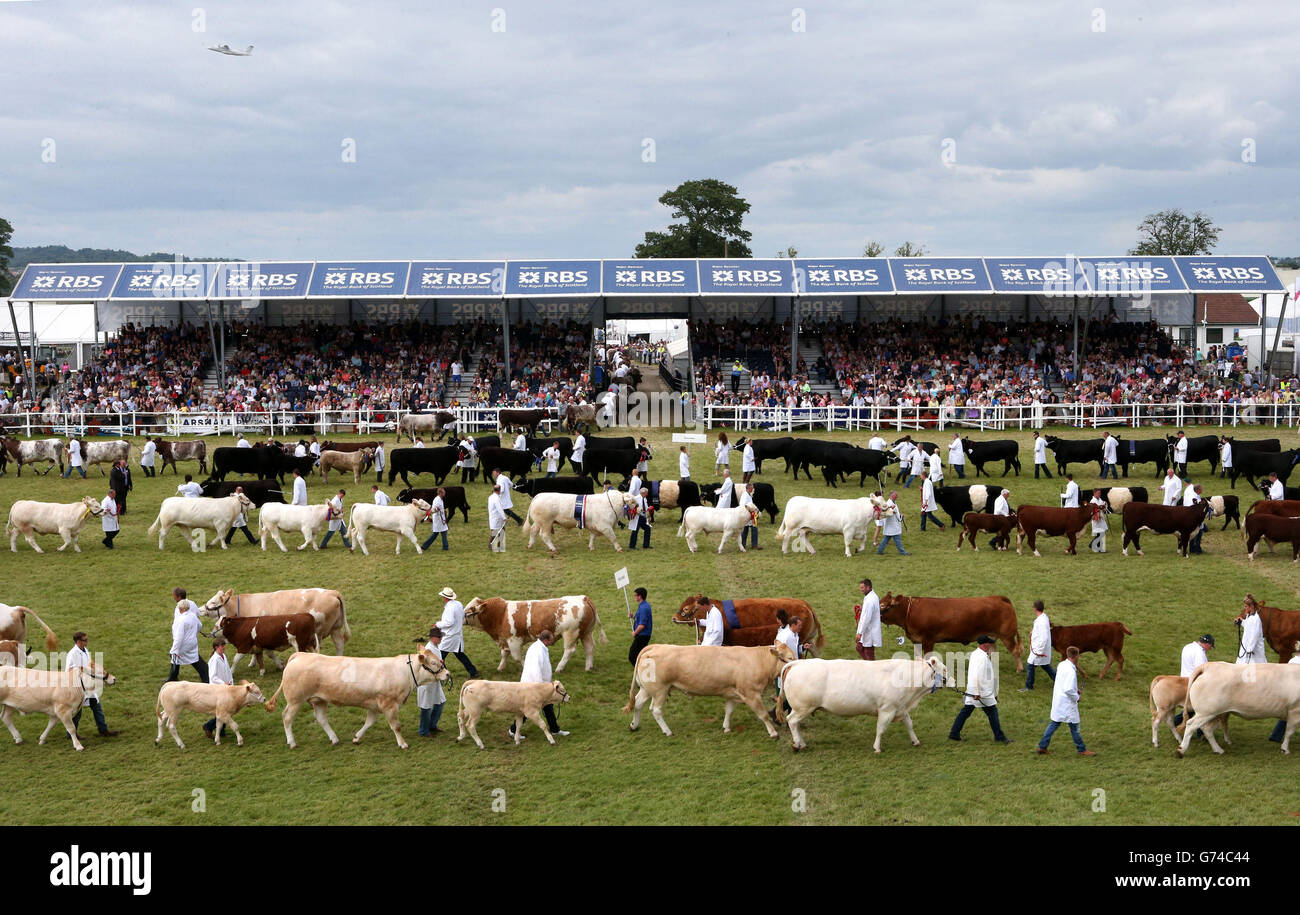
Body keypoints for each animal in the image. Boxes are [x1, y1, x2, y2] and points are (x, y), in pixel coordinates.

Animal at [265, 647, 452, 748]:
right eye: (434, 663)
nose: (447, 674)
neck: (403, 672)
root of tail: (299, 655)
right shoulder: (389, 704)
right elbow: (396, 726)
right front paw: (403, 744)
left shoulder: (374, 705)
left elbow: (369, 722)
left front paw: (356, 738)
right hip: (295, 700)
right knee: (287, 717)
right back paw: (292, 742)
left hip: (318, 700)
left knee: (321, 719)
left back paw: (334, 739)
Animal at [462, 592, 608, 670]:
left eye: (469, 610)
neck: (500, 614)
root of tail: (584, 598)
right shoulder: (504, 639)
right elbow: (504, 654)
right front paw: (501, 667)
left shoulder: (514, 640)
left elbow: (517, 657)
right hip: (586, 633)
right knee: (589, 648)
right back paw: (588, 667)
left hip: (570, 633)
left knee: (569, 651)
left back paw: (559, 668)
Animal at [774, 657, 951, 748]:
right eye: (944, 669)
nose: (954, 680)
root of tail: (797, 663)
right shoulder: (887, 710)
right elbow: (880, 729)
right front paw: (877, 747)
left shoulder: (900, 708)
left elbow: (909, 724)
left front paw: (915, 741)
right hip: (803, 708)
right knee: (792, 721)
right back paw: (798, 744)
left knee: (795, 724)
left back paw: (801, 742)